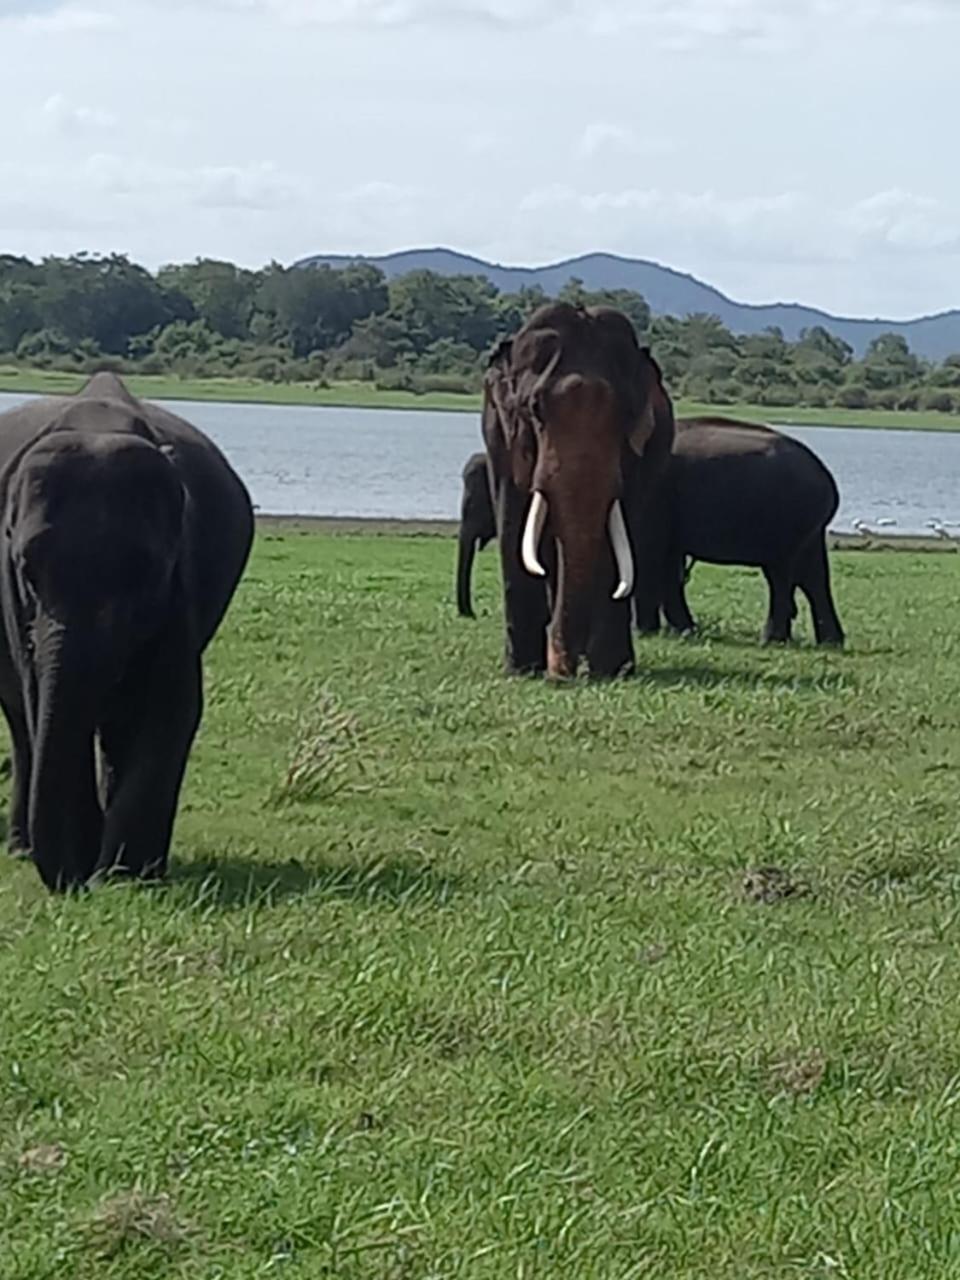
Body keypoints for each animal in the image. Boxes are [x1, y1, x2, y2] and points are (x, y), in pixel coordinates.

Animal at [0, 371, 253, 890]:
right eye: (29, 571)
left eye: (144, 572)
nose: (69, 881)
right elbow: (41, 702)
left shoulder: (180, 577)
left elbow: (171, 703)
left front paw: (126, 878)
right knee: (22, 722)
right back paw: (22, 849)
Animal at [483, 302, 670, 680]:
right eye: (534, 408)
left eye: (626, 413)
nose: (562, 670)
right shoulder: (500, 436)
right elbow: (513, 524)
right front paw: (522, 670)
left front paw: (610, 670)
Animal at [634, 414, 844, 645]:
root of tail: (827, 478)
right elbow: (669, 561)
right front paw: (683, 631)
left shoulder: (651, 492)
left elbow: (647, 551)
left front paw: (646, 632)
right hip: (807, 523)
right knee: (813, 577)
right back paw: (830, 642)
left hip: (787, 516)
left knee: (781, 574)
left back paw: (772, 640)